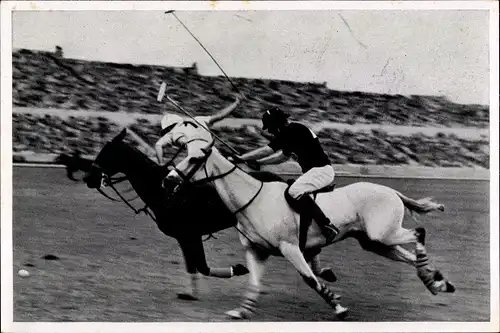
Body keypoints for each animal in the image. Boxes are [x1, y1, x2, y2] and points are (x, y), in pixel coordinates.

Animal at [82, 129, 286, 298]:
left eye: (107, 153)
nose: (88, 178)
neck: (165, 192)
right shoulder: (183, 238)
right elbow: (193, 266)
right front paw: (190, 292)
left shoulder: (191, 235)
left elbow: (201, 266)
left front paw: (239, 269)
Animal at [166, 139, 456, 318]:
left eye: (193, 159)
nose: (168, 180)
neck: (254, 200)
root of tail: (392, 191)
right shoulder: (256, 251)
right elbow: (254, 282)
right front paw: (242, 311)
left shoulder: (290, 248)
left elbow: (310, 279)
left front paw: (339, 308)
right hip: (376, 242)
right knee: (410, 257)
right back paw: (436, 282)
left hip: (382, 234)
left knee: (419, 233)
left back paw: (434, 279)